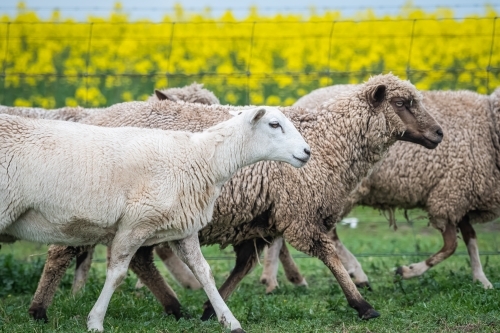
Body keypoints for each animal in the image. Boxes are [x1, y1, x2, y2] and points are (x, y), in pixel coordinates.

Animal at [0, 105, 310, 330]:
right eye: (274, 124)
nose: (307, 152)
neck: (200, 158)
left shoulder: (184, 228)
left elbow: (204, 272)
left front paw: (228, 320)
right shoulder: (135, 223)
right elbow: (117, 273)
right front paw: (95, 321)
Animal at [23, 72, 444, 322]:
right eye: (404, 103)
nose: (439, 134)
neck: (329, 140)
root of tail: (95, 117)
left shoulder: (259, 218)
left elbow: (243, 266)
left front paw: (211, 308)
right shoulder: (299, 211)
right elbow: (328, 255)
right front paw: (362, 304)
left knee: (140, 259)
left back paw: (175, 307)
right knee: (61, 252)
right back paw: (39, 309)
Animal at [260, 84, 498, 292]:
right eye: (400, 103)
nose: (439, 133)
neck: (490, 125)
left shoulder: (463, 197)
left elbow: (470, 239)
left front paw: (482, 280)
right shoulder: (449, 195)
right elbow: (451, 246)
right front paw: (407, 270)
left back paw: (290, 277)